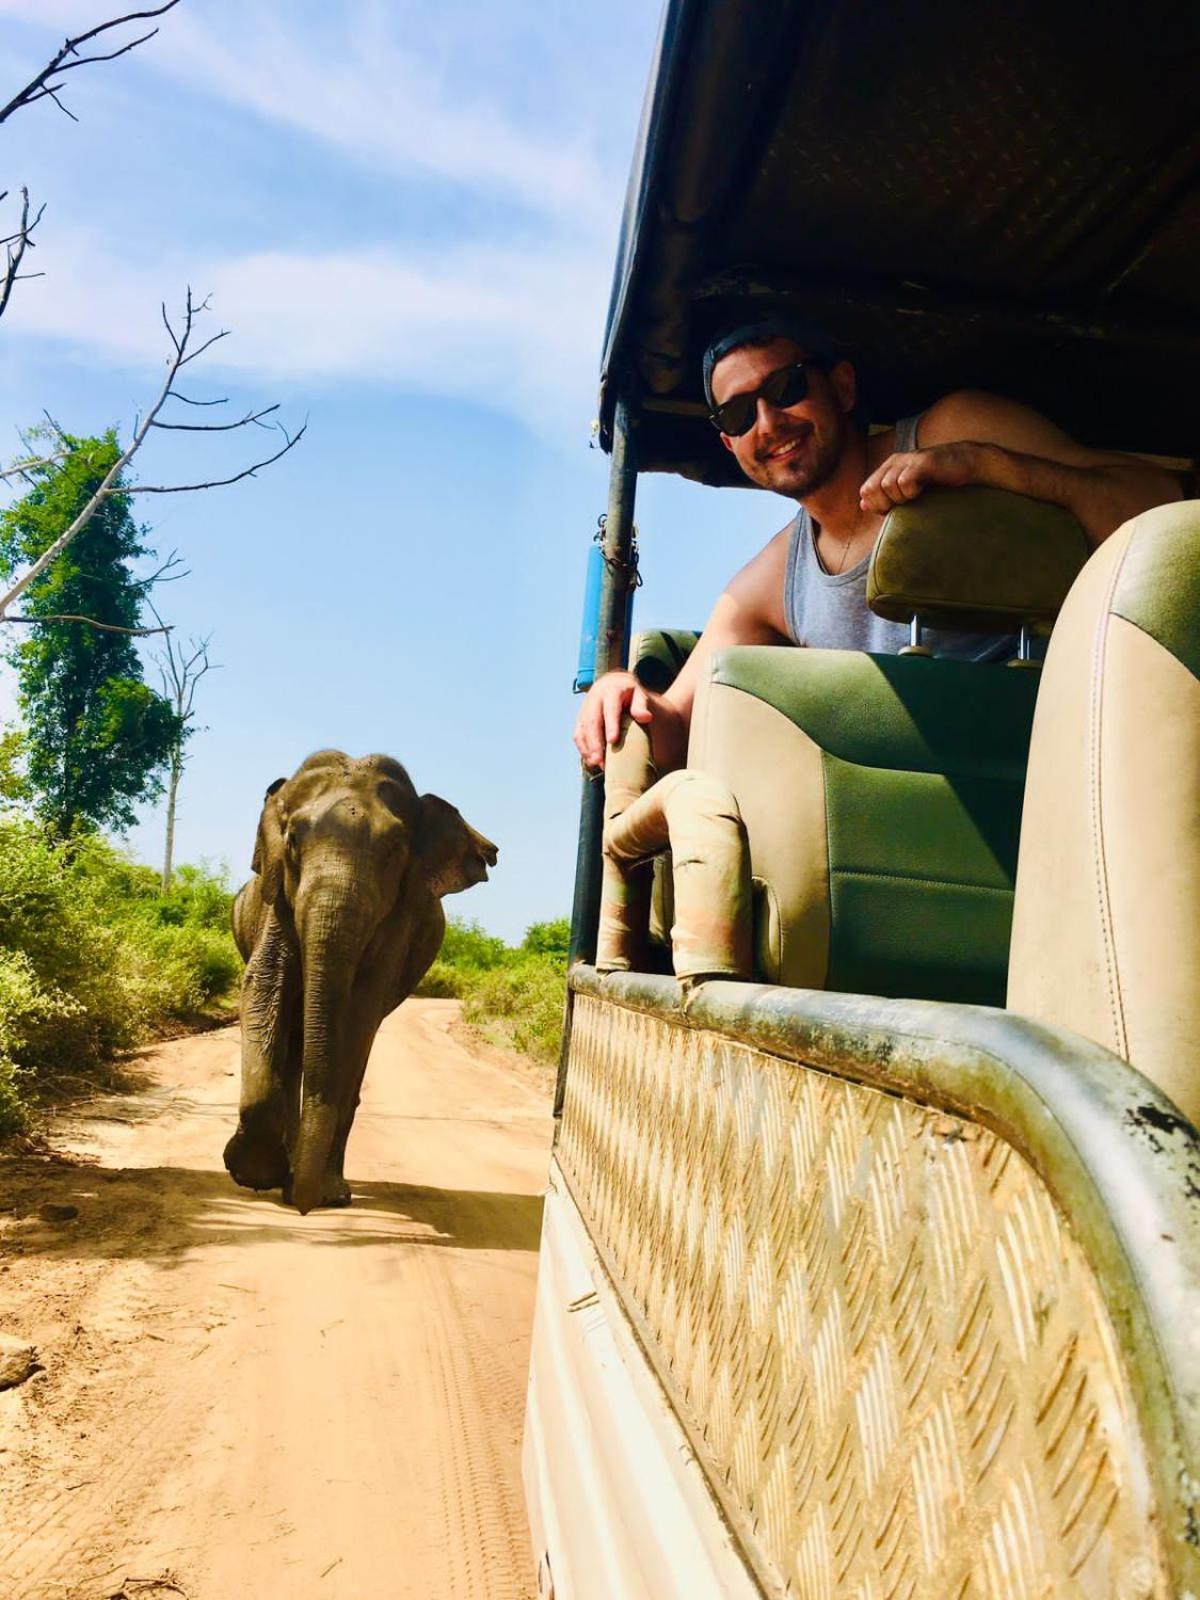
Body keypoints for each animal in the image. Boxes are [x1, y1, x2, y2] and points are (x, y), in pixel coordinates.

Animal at [222, 748, 499, 1209]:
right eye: (293, 840)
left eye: (393, 852)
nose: (302, 1208)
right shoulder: (278, 902)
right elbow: (263, 986)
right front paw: (257, 1174)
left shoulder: (397, 923)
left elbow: (357, 1013)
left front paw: (307, 1189)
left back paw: (324, 1189)